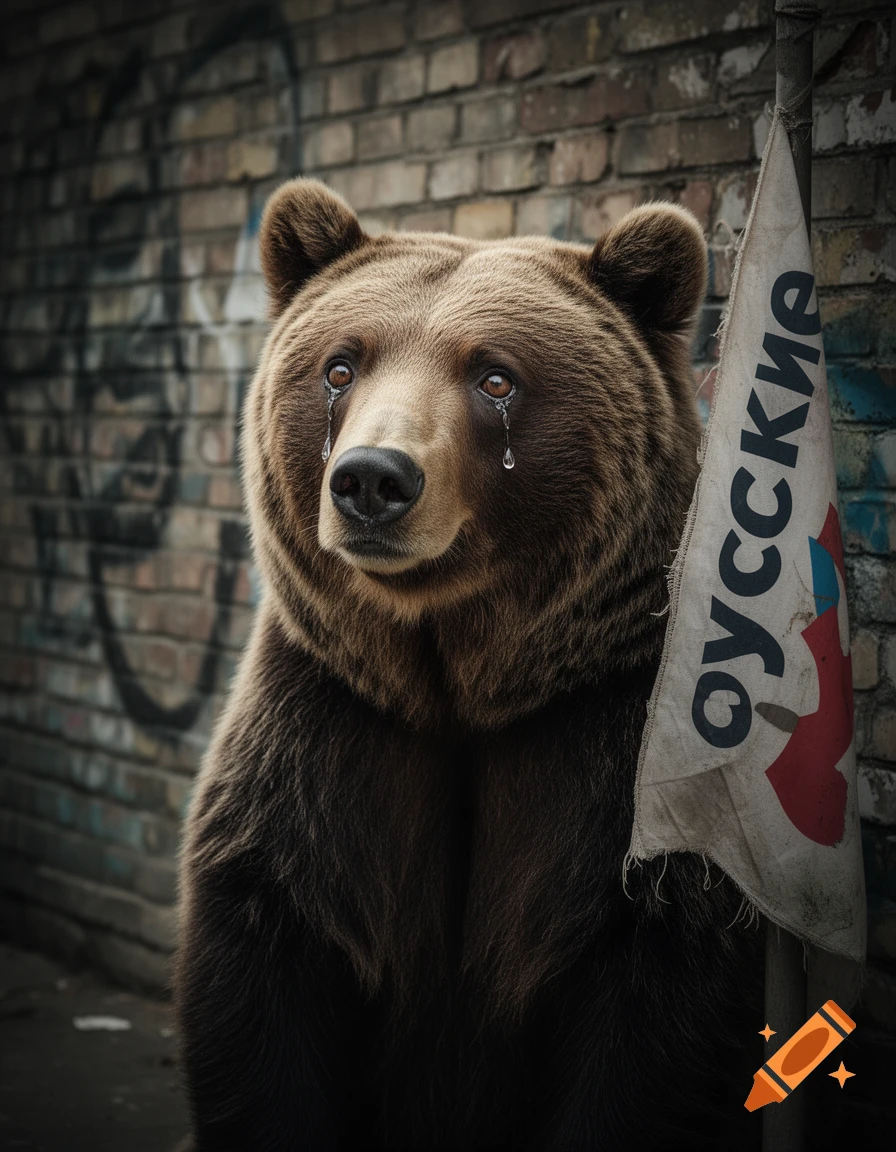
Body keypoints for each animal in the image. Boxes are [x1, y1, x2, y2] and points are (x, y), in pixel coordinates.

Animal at [174, 178, 762, 1152]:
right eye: (341, 366)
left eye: (496, 376)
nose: (372, 480)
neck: (453, 675)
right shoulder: (327, 735)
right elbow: (266, 986)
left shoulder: (603, 759)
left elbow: (649, 1027)